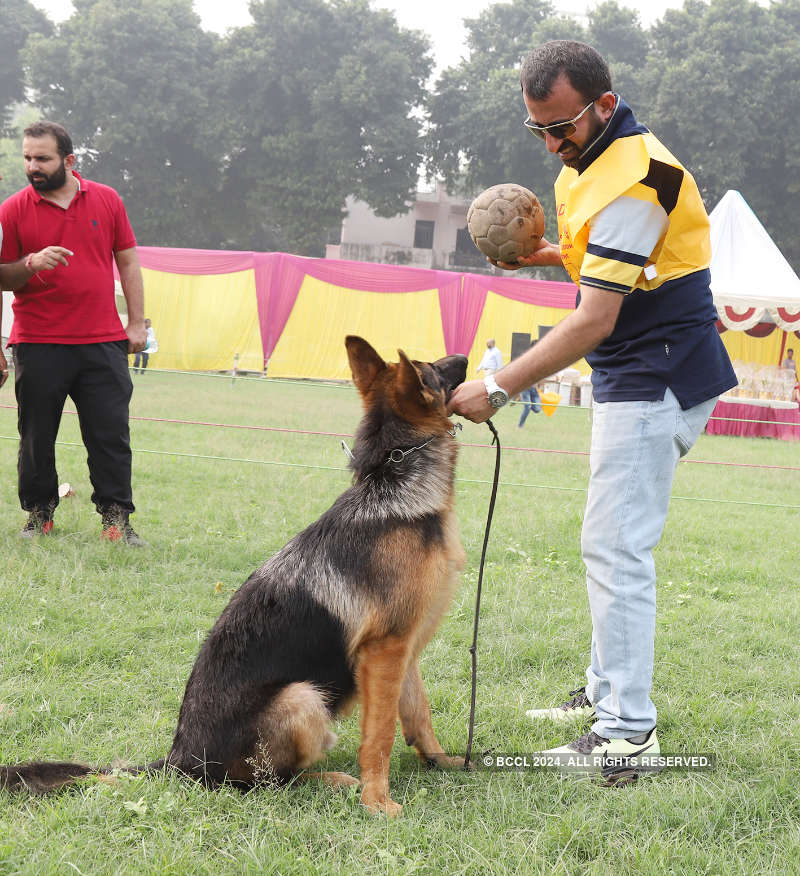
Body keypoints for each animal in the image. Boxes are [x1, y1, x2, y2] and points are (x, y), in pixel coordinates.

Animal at [1, 338, 468, 816]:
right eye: (429, 368)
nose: (468, 358)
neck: (392, 485)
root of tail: (178, 760)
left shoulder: (402, 648)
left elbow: (418, 712)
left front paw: (440, 760)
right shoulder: (384, 651)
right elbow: (379, 735)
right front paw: (377, 800)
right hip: (303, 698)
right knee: (264, 784)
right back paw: (331, 781)